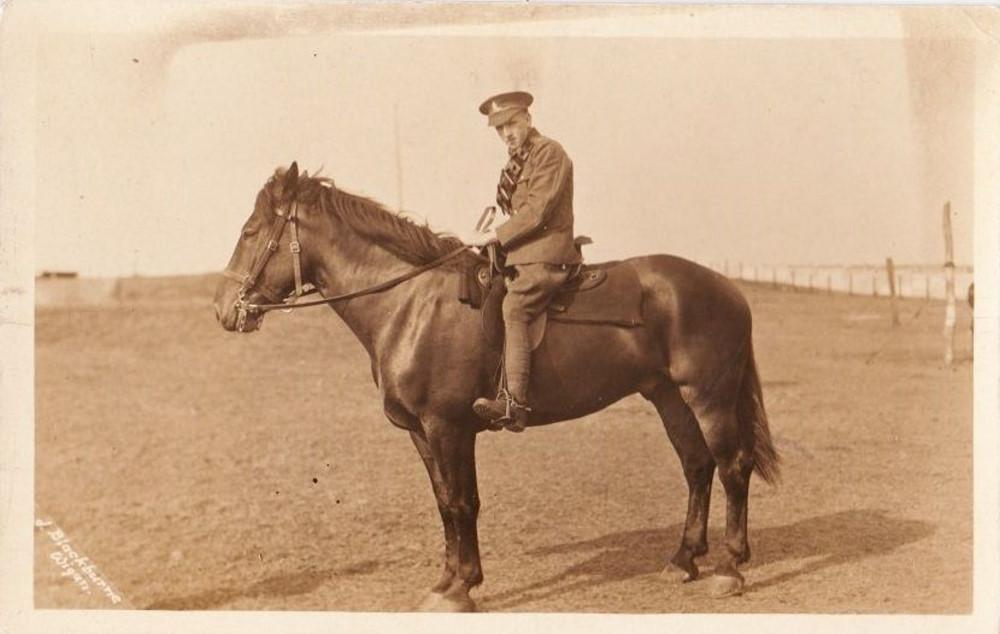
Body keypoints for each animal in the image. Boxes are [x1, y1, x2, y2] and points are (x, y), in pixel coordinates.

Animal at [213, 165, 780, 608]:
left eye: (250, 230)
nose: (223, 310)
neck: (411, 304)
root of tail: (728, 288)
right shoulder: (422, 433)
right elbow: (445, 502)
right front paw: (445, 582)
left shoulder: (448, 428)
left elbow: (464, 502)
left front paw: (462, 589)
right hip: (667, 396)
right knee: (697, 466)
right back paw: (683, 559)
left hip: (708, 396)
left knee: (732, 467)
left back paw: (730, 568)